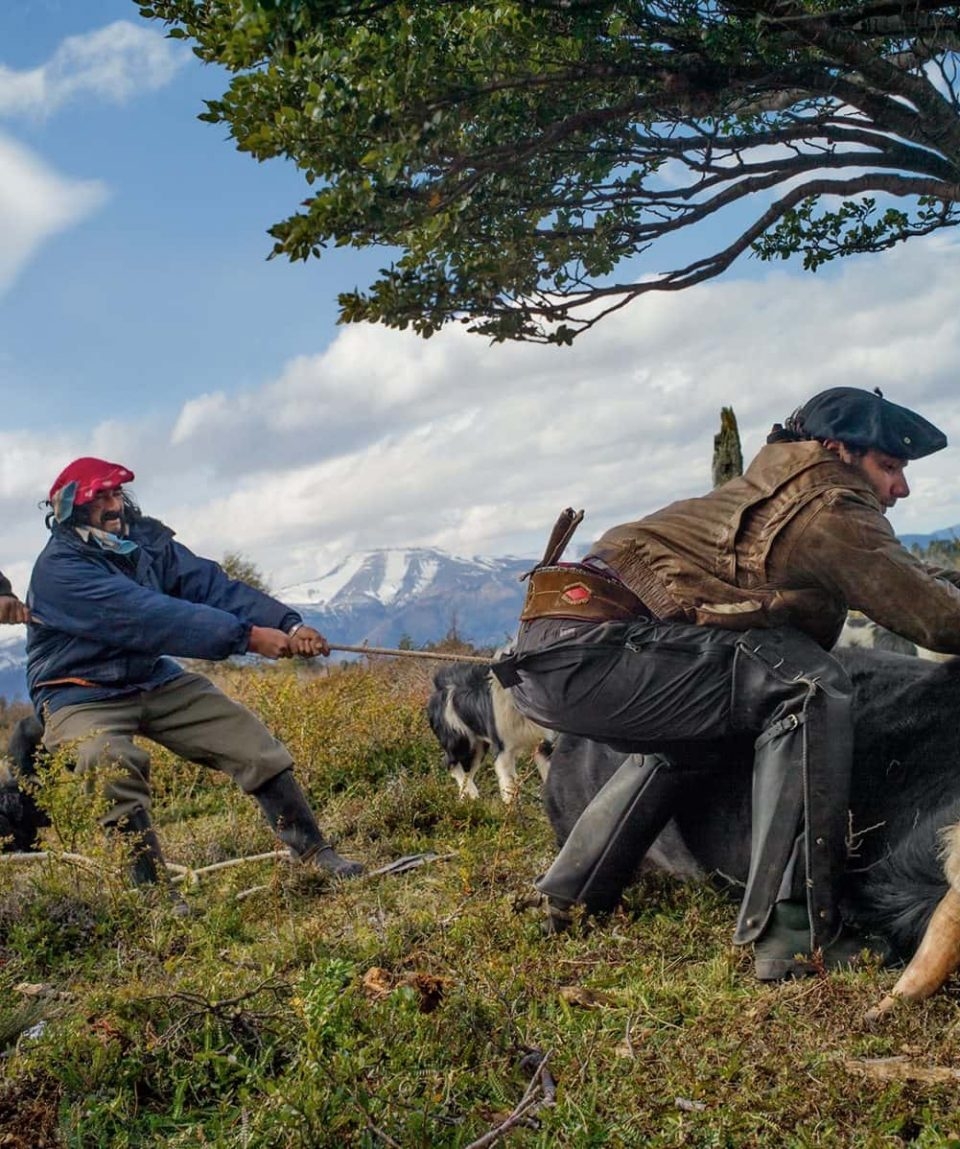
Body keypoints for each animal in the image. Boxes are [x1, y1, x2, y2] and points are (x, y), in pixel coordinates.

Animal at [427, 661, 555, 804]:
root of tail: (439, 682)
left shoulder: (543, 744)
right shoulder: (502, 749)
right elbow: (509, 785)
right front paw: (511, 808)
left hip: (478, 746)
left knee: (467, 772)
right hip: (460, 740)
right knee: (450, 763)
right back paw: (471, 795)